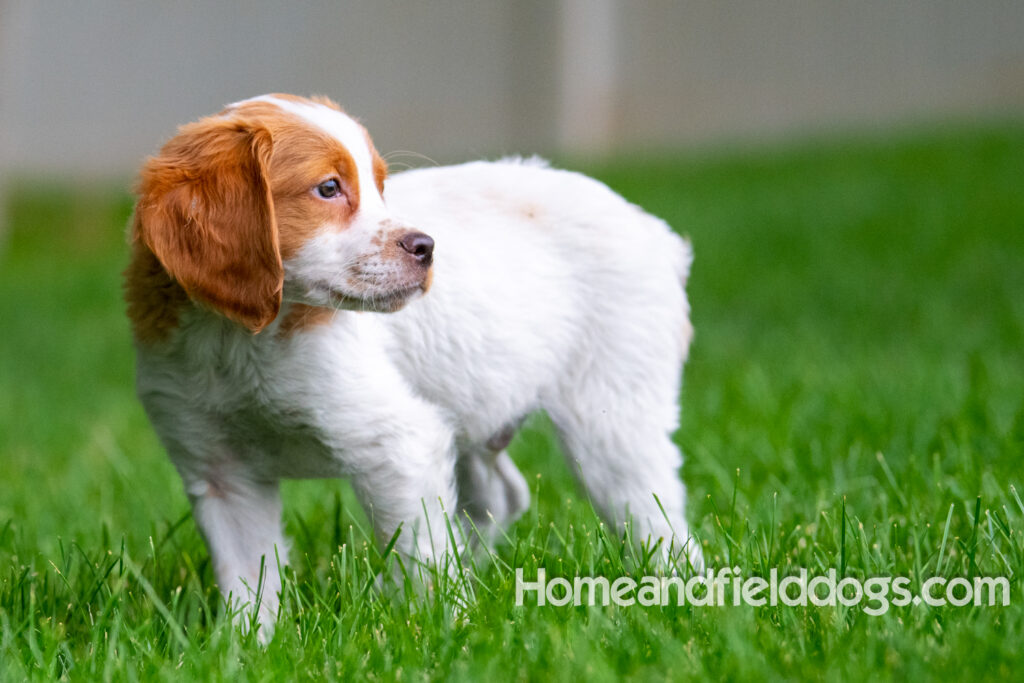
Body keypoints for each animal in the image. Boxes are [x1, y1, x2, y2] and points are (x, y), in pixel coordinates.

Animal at [123, 93, 700, 634]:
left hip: (611, 416)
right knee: (501, 496)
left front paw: (444, 628)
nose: (426, 247)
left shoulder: (397, 444)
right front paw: (250, 647)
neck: (238, 343)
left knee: (653, 513)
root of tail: (654, 230)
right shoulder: (218, 471)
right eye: (328, 188)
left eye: (381, 186)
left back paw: (677, 592)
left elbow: (420, 556)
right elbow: (248, 579)